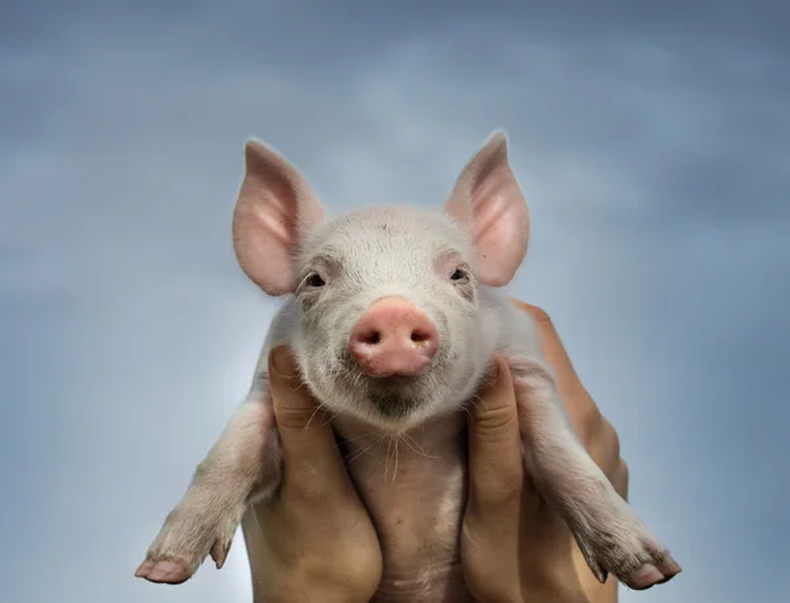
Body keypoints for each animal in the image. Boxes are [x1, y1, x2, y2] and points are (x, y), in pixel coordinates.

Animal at [135, 131, 681, 601]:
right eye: (315, 279)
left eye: (459, 273)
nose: (393, 312)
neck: (402, 444)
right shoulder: (267, 382)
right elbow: (229, 453)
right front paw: (160, 569)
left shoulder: (527, 366)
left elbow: (563, 454)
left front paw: (654, 570)